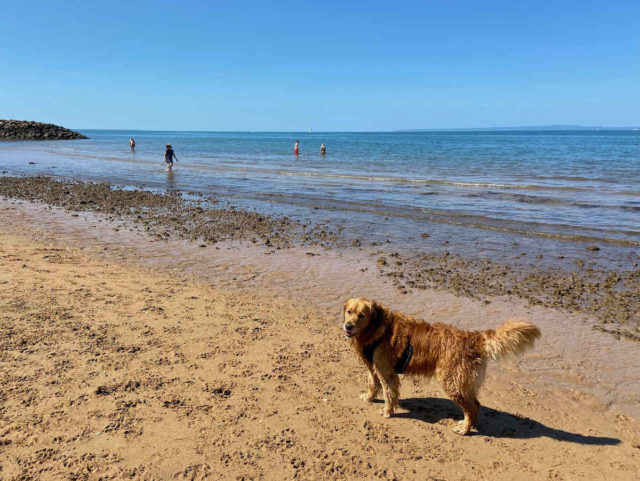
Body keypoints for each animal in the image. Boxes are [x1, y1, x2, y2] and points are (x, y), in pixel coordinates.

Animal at [344, 296, 540, 436]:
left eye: (361, 315)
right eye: (349, 311)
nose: (347, 325)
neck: (377, 328)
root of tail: (475, 338)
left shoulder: (387, 372)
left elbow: (388, 394)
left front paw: (387, 411)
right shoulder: (373, 367)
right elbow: (372, 384)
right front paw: (368, 397)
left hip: (451, 381)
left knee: (472, 408)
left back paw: (464, 429)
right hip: (463, 383)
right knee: (476, 404)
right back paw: (467, 425)